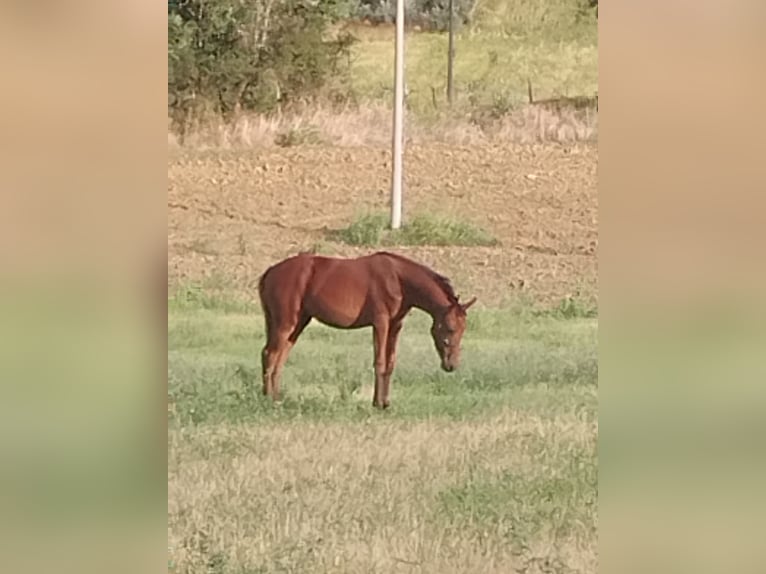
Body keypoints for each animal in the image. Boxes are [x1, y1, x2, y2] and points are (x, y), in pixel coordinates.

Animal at [258, 252, 474, 410]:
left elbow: (390, 363)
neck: (398, 279)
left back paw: (276, 397)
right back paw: (269, 400)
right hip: (286, 324)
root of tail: (269, 272)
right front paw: (377, 403)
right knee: (270, 354)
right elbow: (380, 362)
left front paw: (386, 402)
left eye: (464, 330)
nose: (451, 365)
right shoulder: (380, 323)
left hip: (297, 324)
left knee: (279, 358)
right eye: (450, 328)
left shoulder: (395, 326)